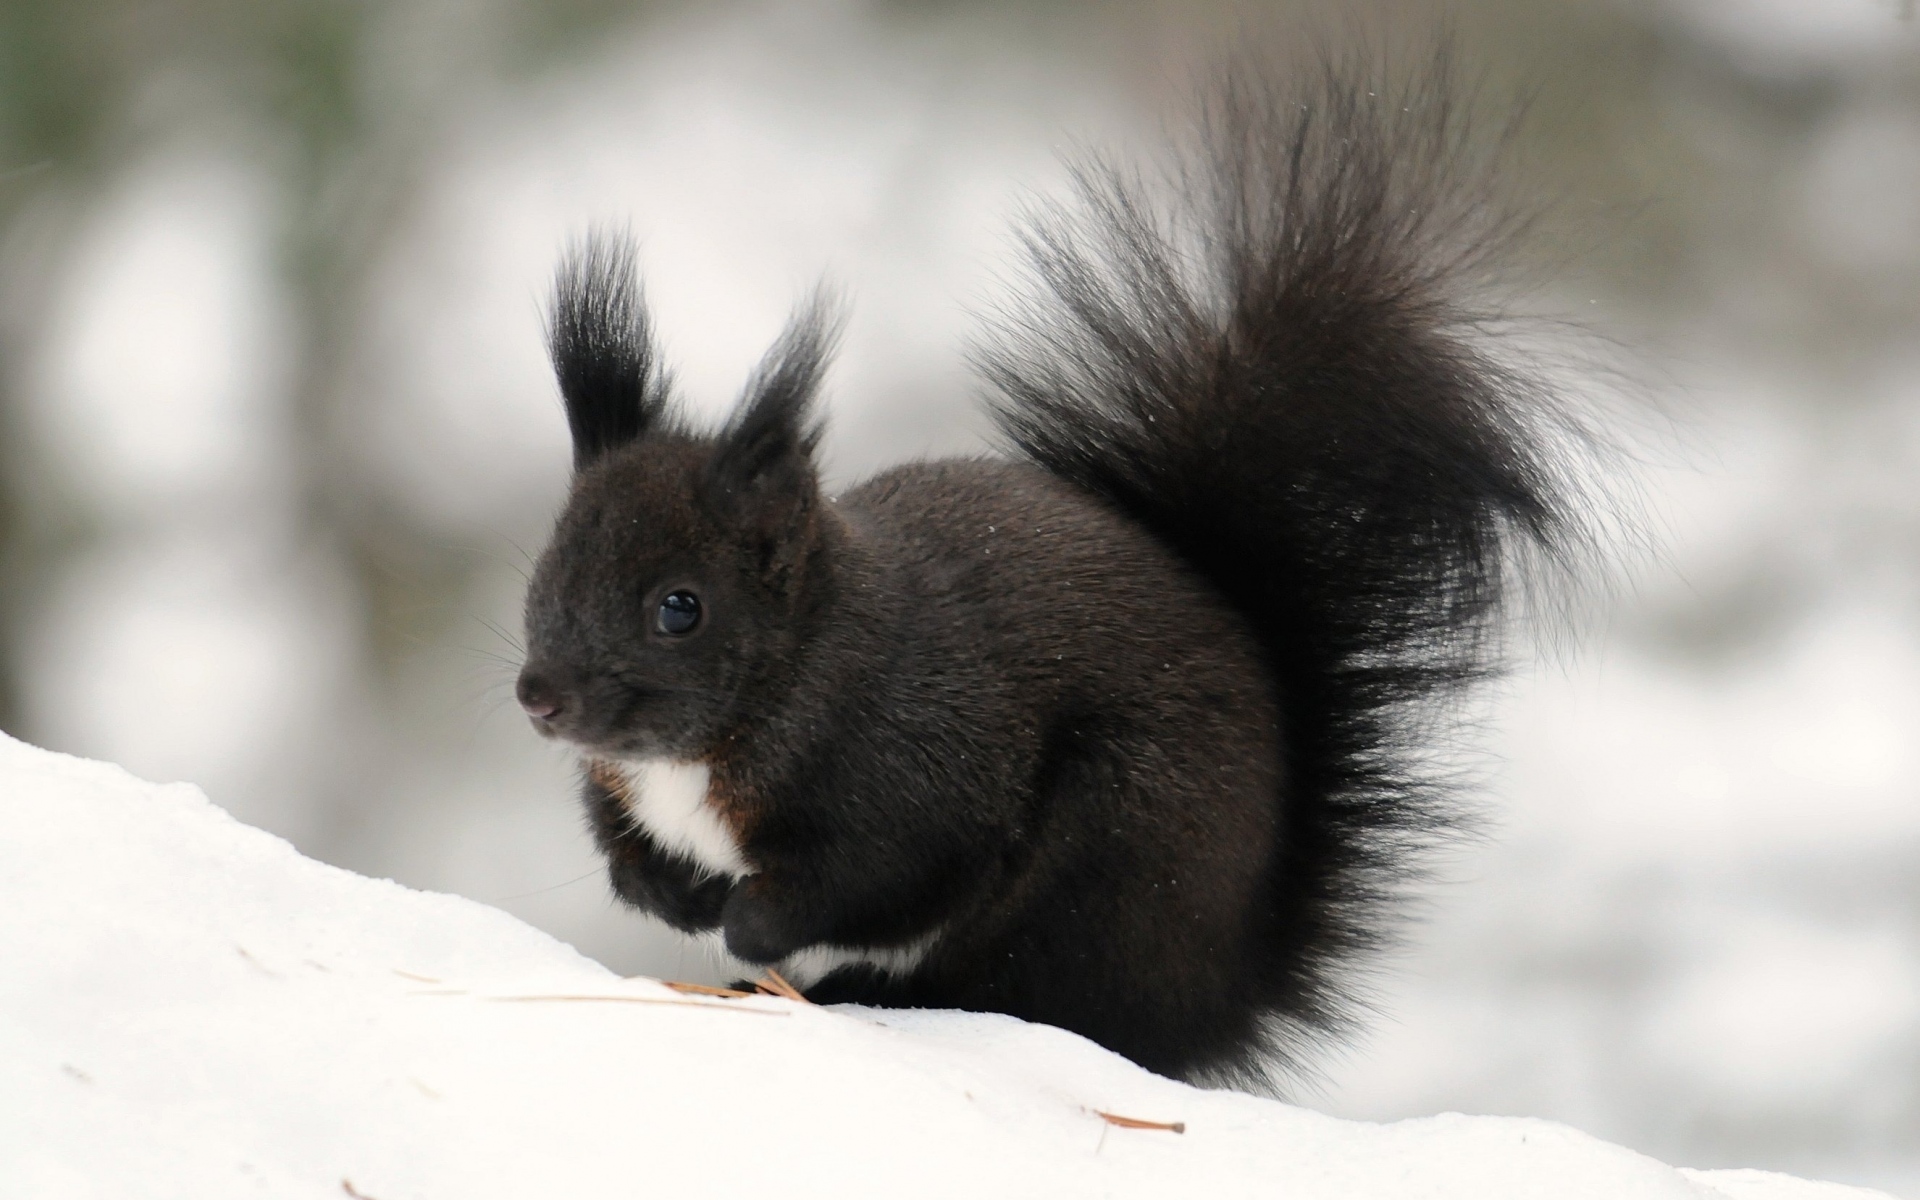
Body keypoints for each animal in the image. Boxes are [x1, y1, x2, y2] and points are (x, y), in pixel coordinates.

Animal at [514, 49, 1596, 1088]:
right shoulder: (625, 791)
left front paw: (745, 922)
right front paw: (672, 894)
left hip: (1108, 861)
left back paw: (859, 989)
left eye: (679, 608)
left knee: (1026, 992)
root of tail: (1226, 990)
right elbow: (625, 852)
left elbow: (871, 880)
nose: (540, 698)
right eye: (545, 572)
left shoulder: (918, 775)